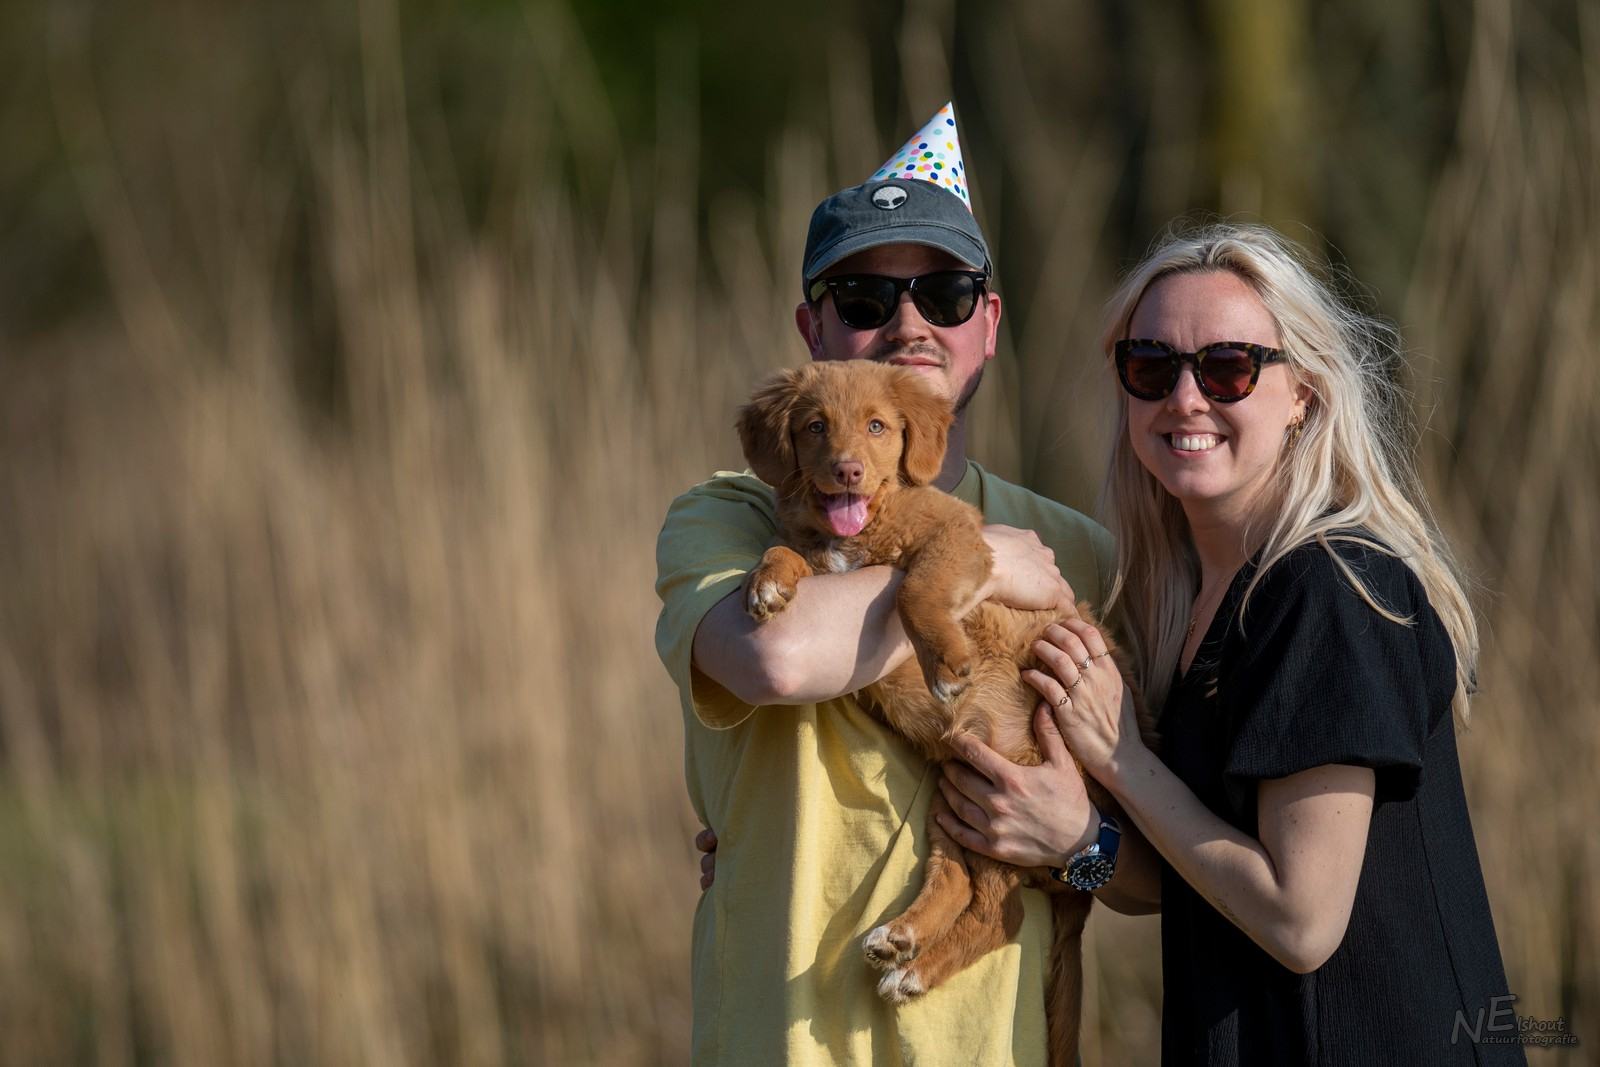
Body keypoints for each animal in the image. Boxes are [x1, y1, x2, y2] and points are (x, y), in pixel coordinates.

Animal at [736, 361, 1164, 1067]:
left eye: (877, 426)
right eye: (815, 427)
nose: (848, 470)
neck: (860, 527)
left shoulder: (957, 538)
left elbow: (915, 588)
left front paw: (949, 662)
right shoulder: (821, 554)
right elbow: (784, 551)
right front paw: (766, 583)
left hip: (1014, 792)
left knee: (1001, 914)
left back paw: (912, 967)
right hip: (958, 793)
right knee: (958, 882)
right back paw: (901, 940)